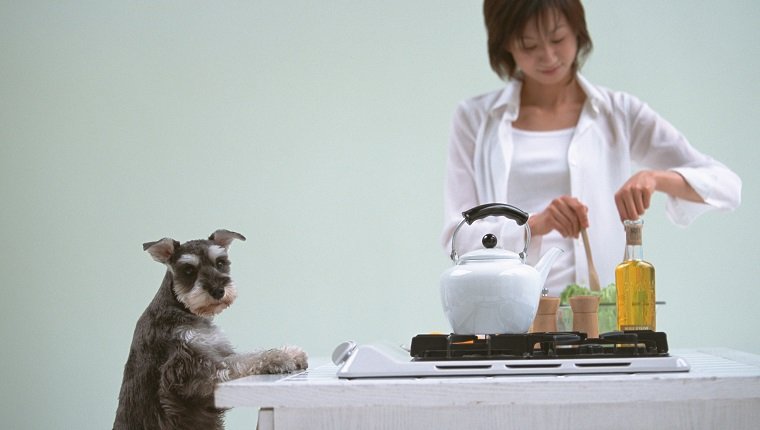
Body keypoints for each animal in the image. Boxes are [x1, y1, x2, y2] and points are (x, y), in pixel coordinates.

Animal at [113, 230, 308, 428]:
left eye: (220, 263)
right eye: (188, 270)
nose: (218, 291)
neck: (185, 310)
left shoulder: (218, 350)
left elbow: (246, 354)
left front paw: (291, 352)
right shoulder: (192, 370)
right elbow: (239, 362)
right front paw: (278, 358)